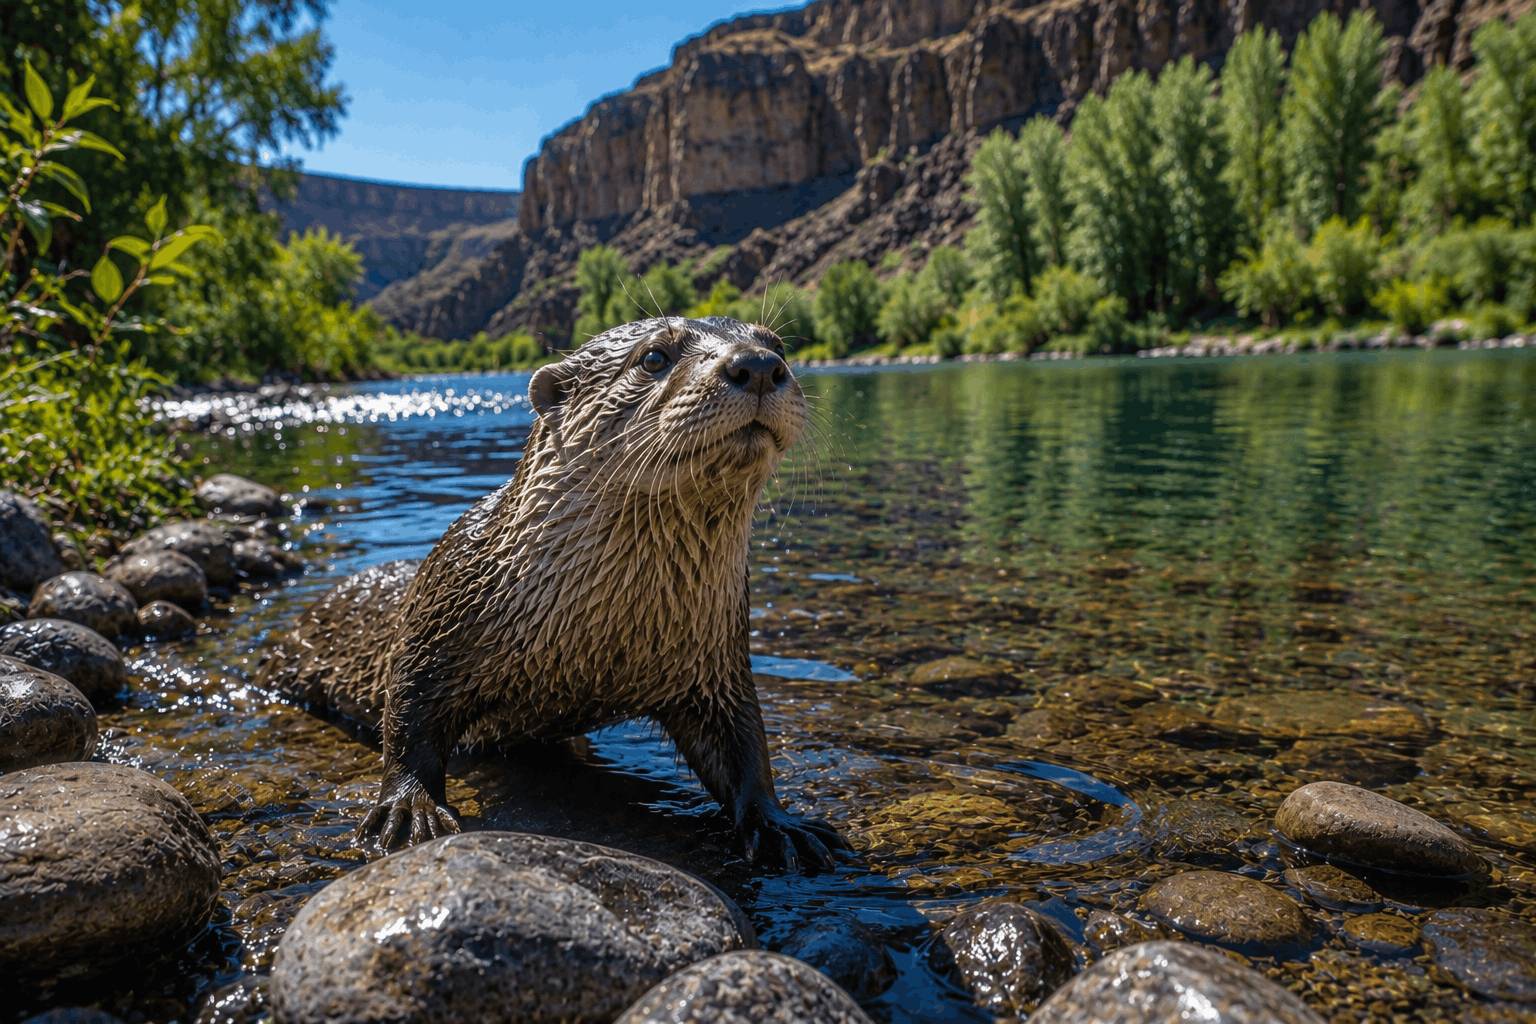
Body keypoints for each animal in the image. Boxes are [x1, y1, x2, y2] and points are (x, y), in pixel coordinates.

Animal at [257, 316, 844, 870]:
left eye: (778, 345)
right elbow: (406, 716)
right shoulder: (435, 619)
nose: (758, 365)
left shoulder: (715, 657)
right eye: (654, 357)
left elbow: (745, 744)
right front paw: (409, 809)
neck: (596, 635)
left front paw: (779, 824)